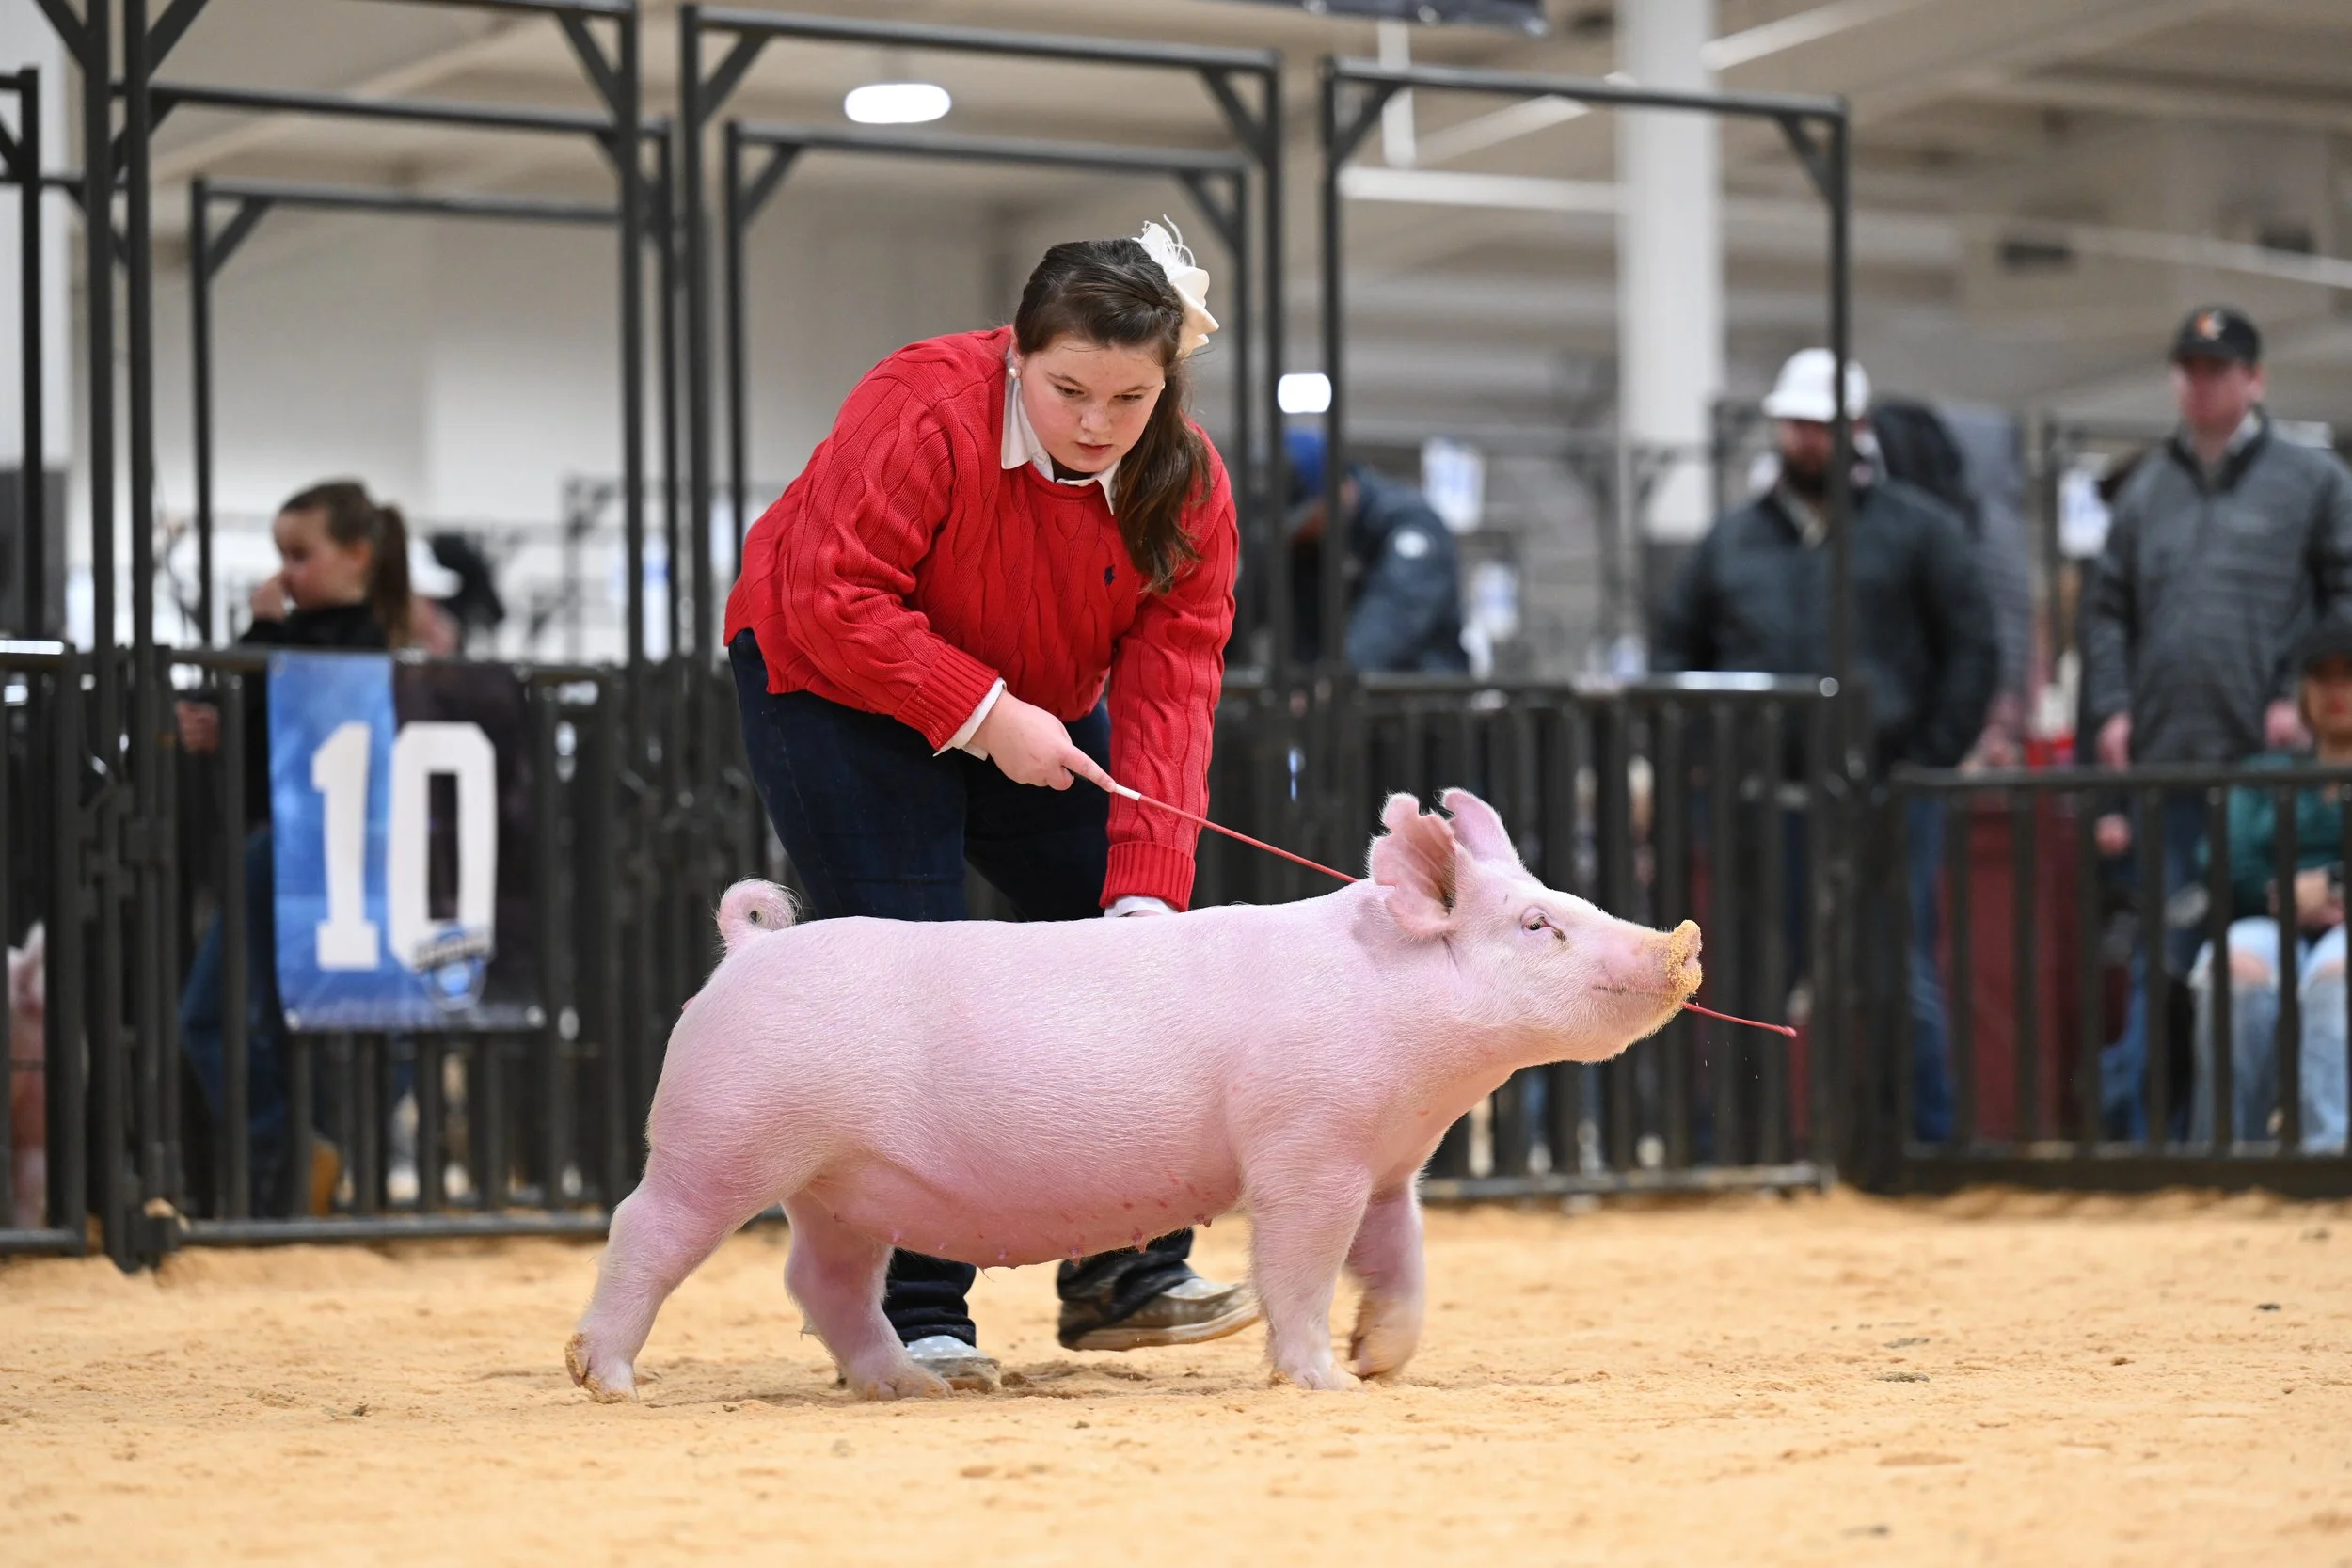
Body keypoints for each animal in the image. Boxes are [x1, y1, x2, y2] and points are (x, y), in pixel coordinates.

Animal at [567, 789, 1700, 1400]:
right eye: (1538, 925)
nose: (1681, 938)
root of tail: (749, 949)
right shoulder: (1307, 1148)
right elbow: (1298, 1266)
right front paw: (1326, 1379)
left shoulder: (1387, 1164)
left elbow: (1403, 1264)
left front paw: (1380, 1361)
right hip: (723, 1132)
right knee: (644, 1226)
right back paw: (607, 1378)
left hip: (841, 1184)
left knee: (822, 1278)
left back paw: (910, 1384)